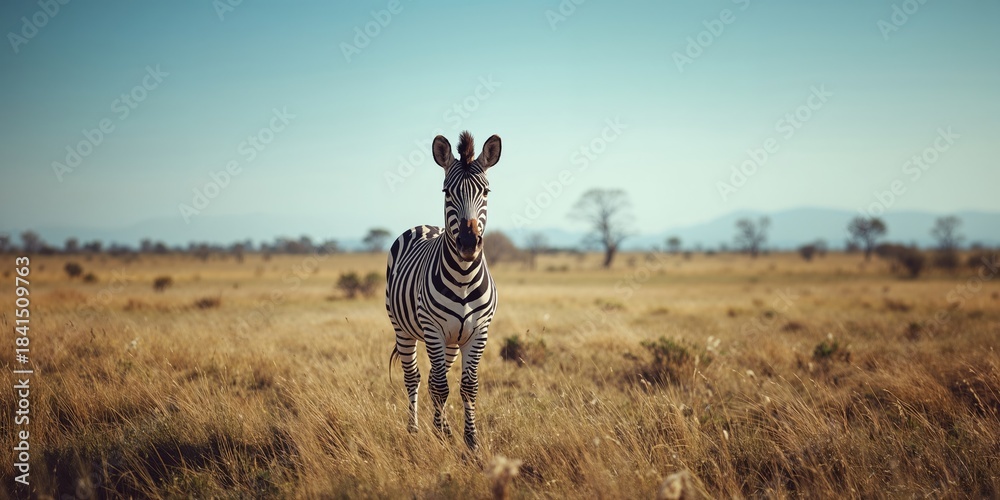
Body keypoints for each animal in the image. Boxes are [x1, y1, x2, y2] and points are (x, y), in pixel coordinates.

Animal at [386, 131, 501, 450]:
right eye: (447, 192)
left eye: (486, 192)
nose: (468, 243)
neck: (463, 276)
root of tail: (424, 226)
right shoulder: (433, 329)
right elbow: (438, 386)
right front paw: (440, 436)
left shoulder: (479, 331)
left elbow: (467, 387)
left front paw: (470, 442)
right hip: (403, 329)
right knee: (414, 378)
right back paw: (414, 429)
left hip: (452, 340)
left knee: (437, 377)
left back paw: (445, 427)